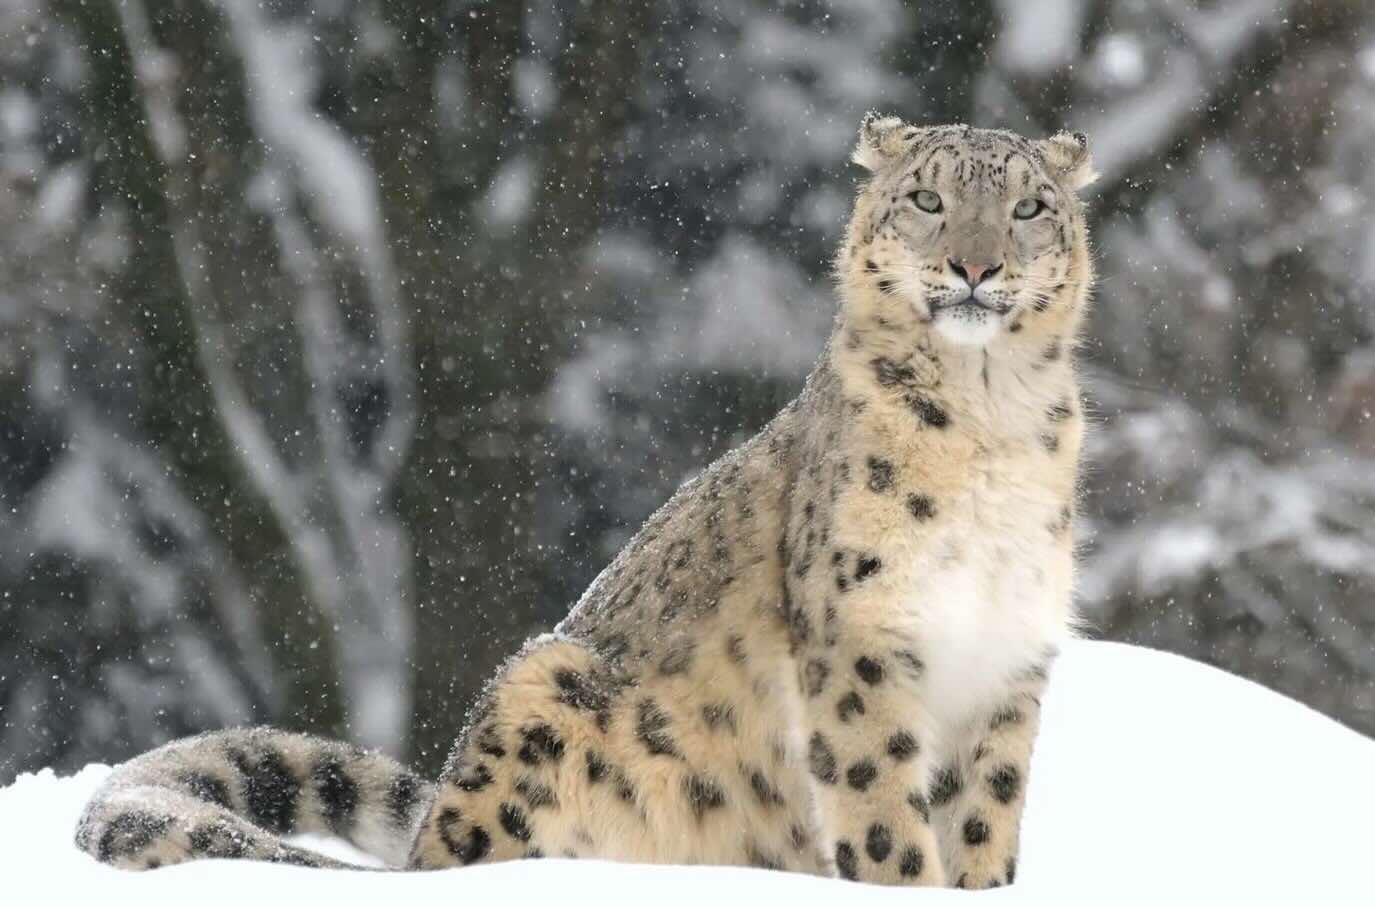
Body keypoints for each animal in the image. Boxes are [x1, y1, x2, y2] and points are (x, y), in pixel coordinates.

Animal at [80, 116, 1100, 890]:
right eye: (927, 200)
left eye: (1027, 207)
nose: (975, 266)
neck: (989, 418)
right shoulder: (862, 635)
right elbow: (882, 801)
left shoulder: (1008, 657)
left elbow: (984, 812)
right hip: (545, 688)